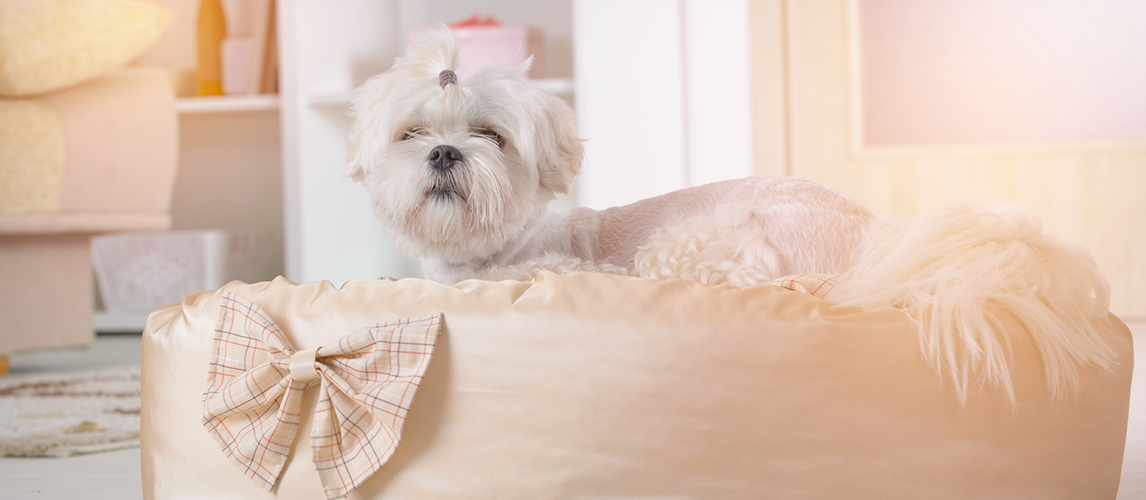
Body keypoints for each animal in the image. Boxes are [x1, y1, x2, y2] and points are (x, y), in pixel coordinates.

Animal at [348, 30, 1118, 401]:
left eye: (491, 135)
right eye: (413, 134)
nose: (445, 152)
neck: (486, 251)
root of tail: (881, 237)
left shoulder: (558, 264)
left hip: (701, 244)